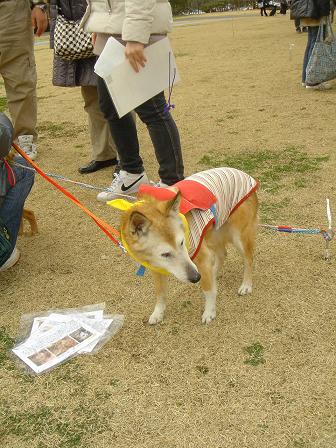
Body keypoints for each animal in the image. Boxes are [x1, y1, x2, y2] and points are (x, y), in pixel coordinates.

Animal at [114, 168, 258, 326]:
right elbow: (160, 293)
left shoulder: (202, 255)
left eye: (182, 242)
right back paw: (213, 272)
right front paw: (158, 313)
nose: (196, 277)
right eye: (165, 254)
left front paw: (209, 312)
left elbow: (208, 290)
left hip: (238, 236)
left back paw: (246, 285)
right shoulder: (155, 268)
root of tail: (243, 173)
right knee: (222, 254)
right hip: (214, 231)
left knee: (249, 259)